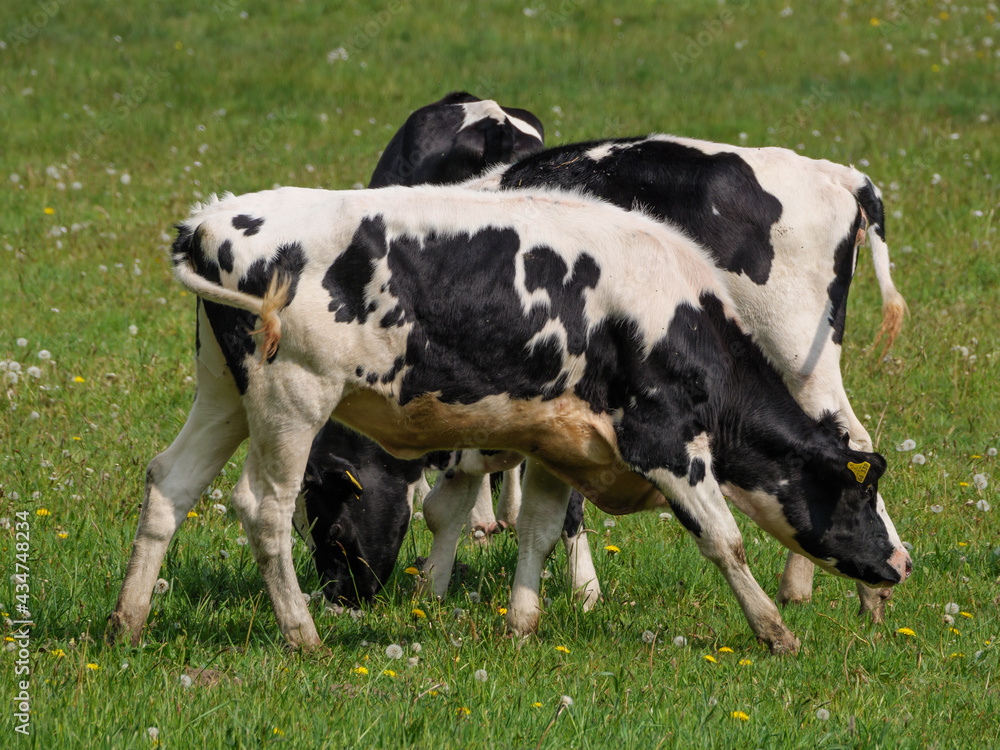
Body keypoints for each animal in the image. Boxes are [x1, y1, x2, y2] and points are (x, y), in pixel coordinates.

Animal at [109, 185, 916, 656]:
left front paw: (521, 625)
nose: (904, 564)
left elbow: (540, 531)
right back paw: (302, 635)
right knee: (263, 508)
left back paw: (128, 621)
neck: (679, 312)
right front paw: (776, 633)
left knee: (170, 485)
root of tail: (209, 220)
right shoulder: (666, 443)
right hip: (291, 396)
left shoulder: (563, 444)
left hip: (224, 391)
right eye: (864, 490)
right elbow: (725, 541)